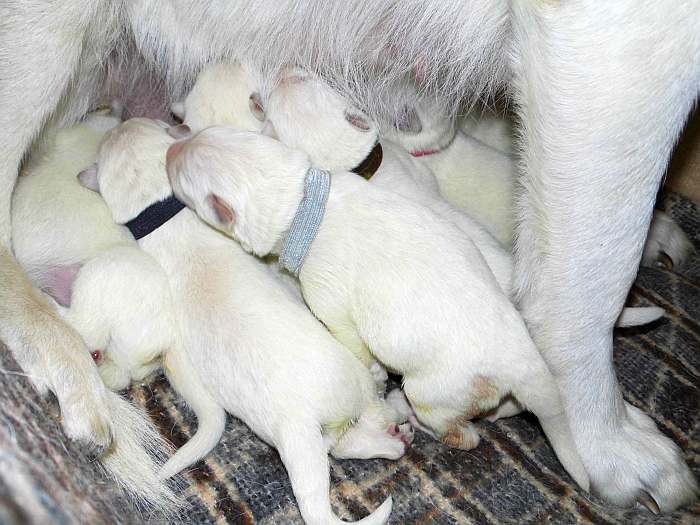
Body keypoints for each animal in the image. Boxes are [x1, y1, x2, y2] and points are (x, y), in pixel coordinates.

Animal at [82, 117, 412, 524]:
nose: (123, 121)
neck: (162, 214)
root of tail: (301, 423)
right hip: (354, 382)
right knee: (376, 405)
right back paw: (399, 417)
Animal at [165, 127, 596, 492]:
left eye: (185, 180)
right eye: (208, 132)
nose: (170, 148)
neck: (304, 200)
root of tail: (523, 359)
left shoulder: (328, 296)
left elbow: (350, 339)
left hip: (436, 389)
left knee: (461, 433)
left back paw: (412, 412)